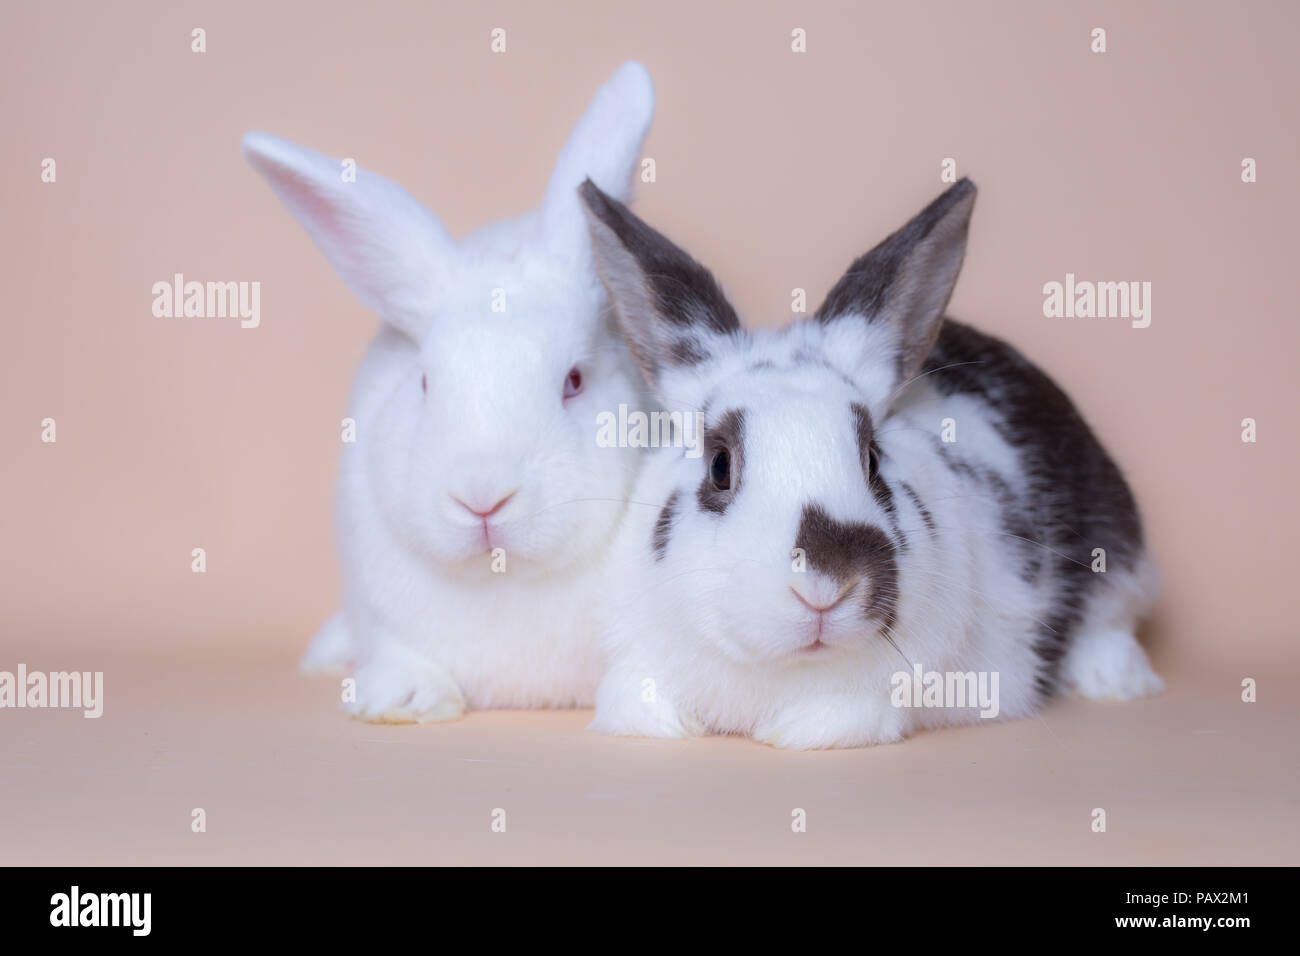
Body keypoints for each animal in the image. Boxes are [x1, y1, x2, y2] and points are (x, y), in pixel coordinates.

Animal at [577, 176, 1164, 750]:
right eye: (720, 466)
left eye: (873, 460)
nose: (825, 588)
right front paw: (665, 726)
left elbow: (840, 716)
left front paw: (790, 731)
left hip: (1116, 552)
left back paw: (1115, 681)